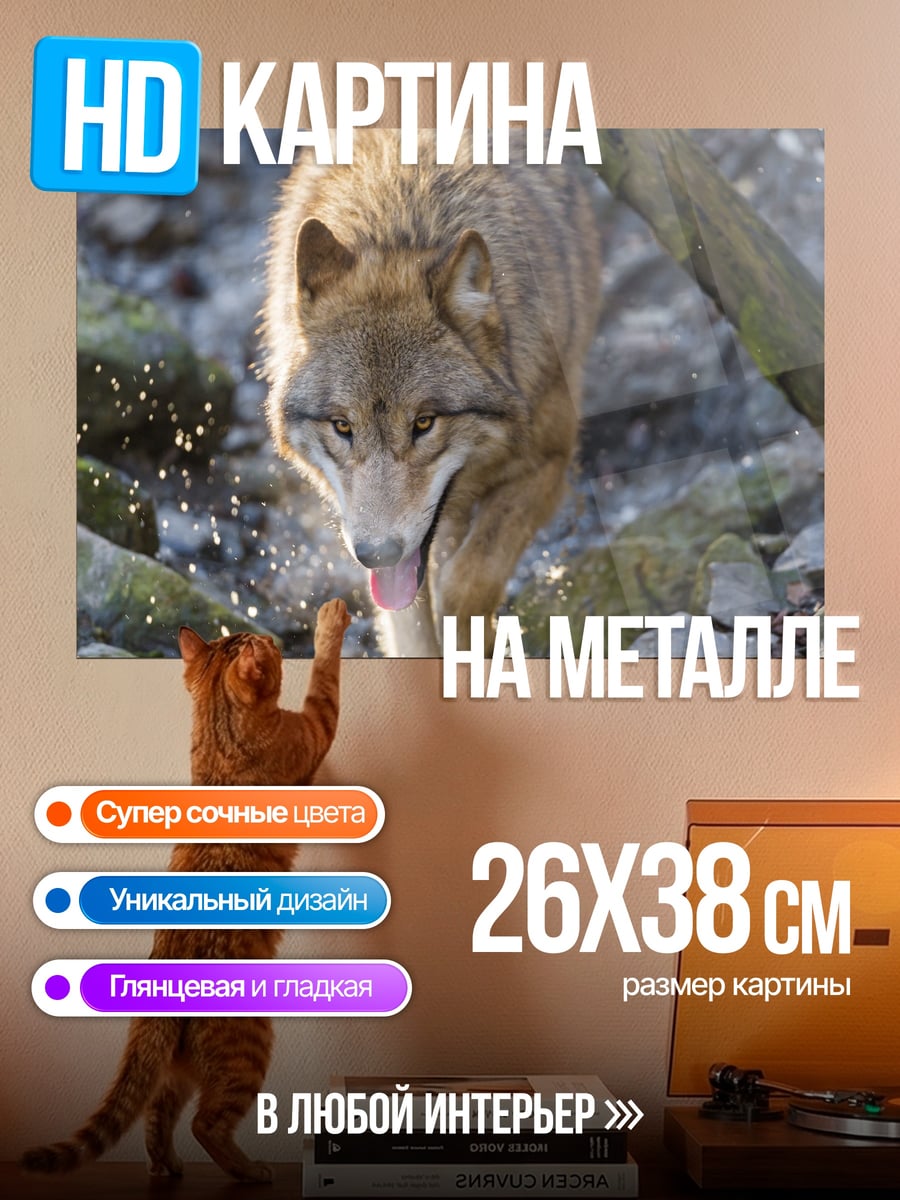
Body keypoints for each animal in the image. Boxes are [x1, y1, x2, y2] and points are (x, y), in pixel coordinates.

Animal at [264, 131, 603, 656]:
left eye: (424, 423)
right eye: (343, 426)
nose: (376, 553)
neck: (403, 223)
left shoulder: (550, 461)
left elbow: (465, 586)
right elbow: (409, 625)